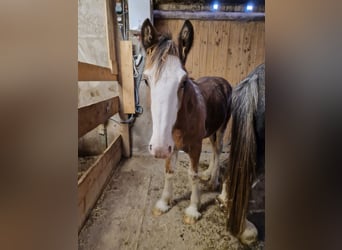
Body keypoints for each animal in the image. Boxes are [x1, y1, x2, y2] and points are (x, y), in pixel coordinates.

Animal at [140, 18, 232, 224]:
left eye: (183, 81)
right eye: (146, 80)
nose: (158, 148)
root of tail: (223, 82)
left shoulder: (195, 146)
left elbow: (192, 174)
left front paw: (193, 208)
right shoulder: (171, 146)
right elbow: (169, 171)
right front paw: (164, 203)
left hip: (221, 128)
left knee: (218, 149)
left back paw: (213, 180)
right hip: (211, 130)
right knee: (214, 149)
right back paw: (209, 174)